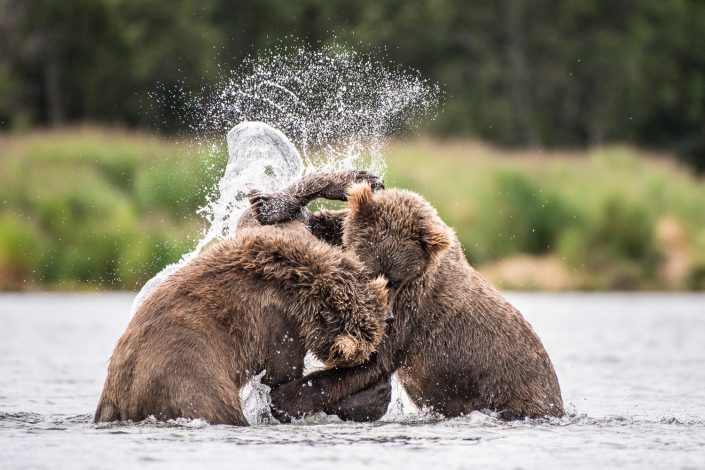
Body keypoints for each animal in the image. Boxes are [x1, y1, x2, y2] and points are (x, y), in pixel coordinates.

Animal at [92, 217, 390, 426]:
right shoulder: (280, 325)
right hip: (190, 376)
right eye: (356, 357)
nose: (375, 356)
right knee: (218, 406)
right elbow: (279, 381)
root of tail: (116, 393)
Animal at [250, 178, 564, 420]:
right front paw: (271, 204)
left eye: (396, 280)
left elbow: (372, 360)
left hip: (512, 391)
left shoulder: (413, 309)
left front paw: (282, 397)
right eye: (368, 272)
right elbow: (322, 225)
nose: (386, 317)